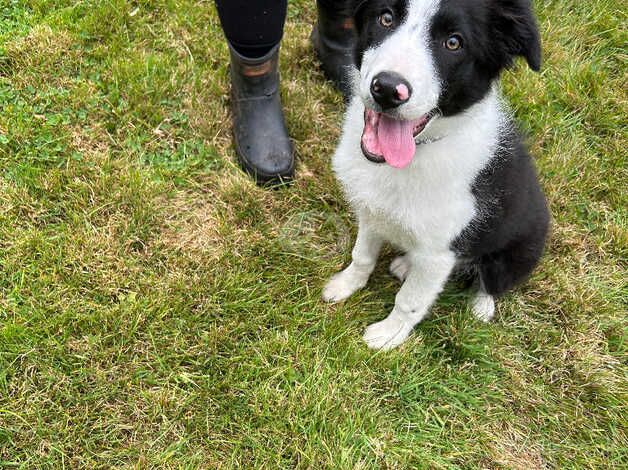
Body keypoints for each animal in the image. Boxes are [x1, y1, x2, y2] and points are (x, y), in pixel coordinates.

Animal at [324, 0, 548, 348]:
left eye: (453, 43)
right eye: (386, 17)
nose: (387, 90)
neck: (418, 152)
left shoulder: (439, 254)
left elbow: (409, 300)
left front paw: (388, 337)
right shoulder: (372, 212)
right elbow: (362, 255)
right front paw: (345, 285)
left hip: (512, 255)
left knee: (491, 282)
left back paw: (481, 306)